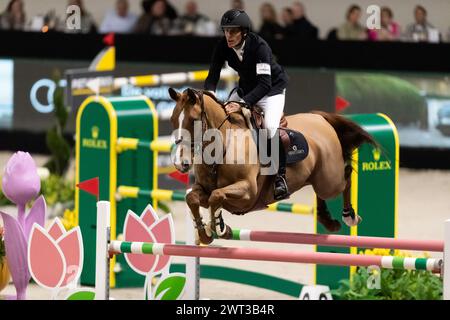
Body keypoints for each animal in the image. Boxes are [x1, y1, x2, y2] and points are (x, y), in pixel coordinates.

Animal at [169, 86, 376, 244]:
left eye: (193, 119)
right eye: (172, 120)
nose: (181, 163)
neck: (223, 145)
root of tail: (320, 118)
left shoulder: (247, 192)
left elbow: (216, 196)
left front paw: (220, 228)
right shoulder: (203, 189)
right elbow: (193, 198)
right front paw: (206, 234)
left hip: (329, 181)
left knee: (346, 177)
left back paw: (349, 216)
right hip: (319, 179)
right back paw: (327, 220)